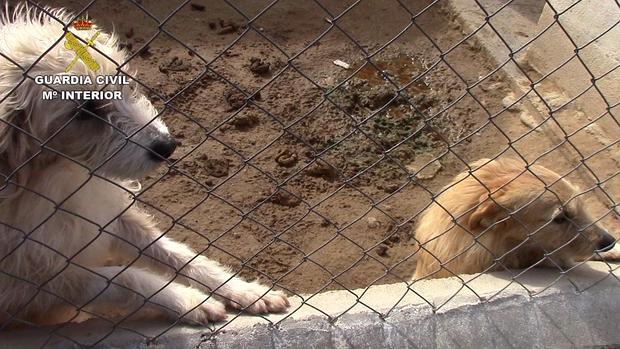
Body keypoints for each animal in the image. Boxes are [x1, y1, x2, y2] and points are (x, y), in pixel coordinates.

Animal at [0, 4, 288, 326]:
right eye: (86, 109)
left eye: (120, 82)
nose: (167, 146)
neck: (57, 175)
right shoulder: (29, 287)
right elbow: (120, 278)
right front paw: (189, 300)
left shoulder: (112, 216)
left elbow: (179, 253)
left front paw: (244, 290)